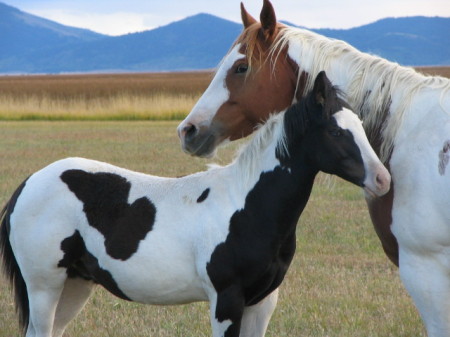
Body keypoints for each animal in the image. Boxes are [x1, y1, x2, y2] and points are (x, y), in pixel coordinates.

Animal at [0, 71, 390, 336]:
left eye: (361, 126)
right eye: (336, 132)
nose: (383, 180)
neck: (246, 206)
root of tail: (26, 186)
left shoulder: (262, 303)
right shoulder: (226, 300)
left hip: (74, 285)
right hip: (45, 286)